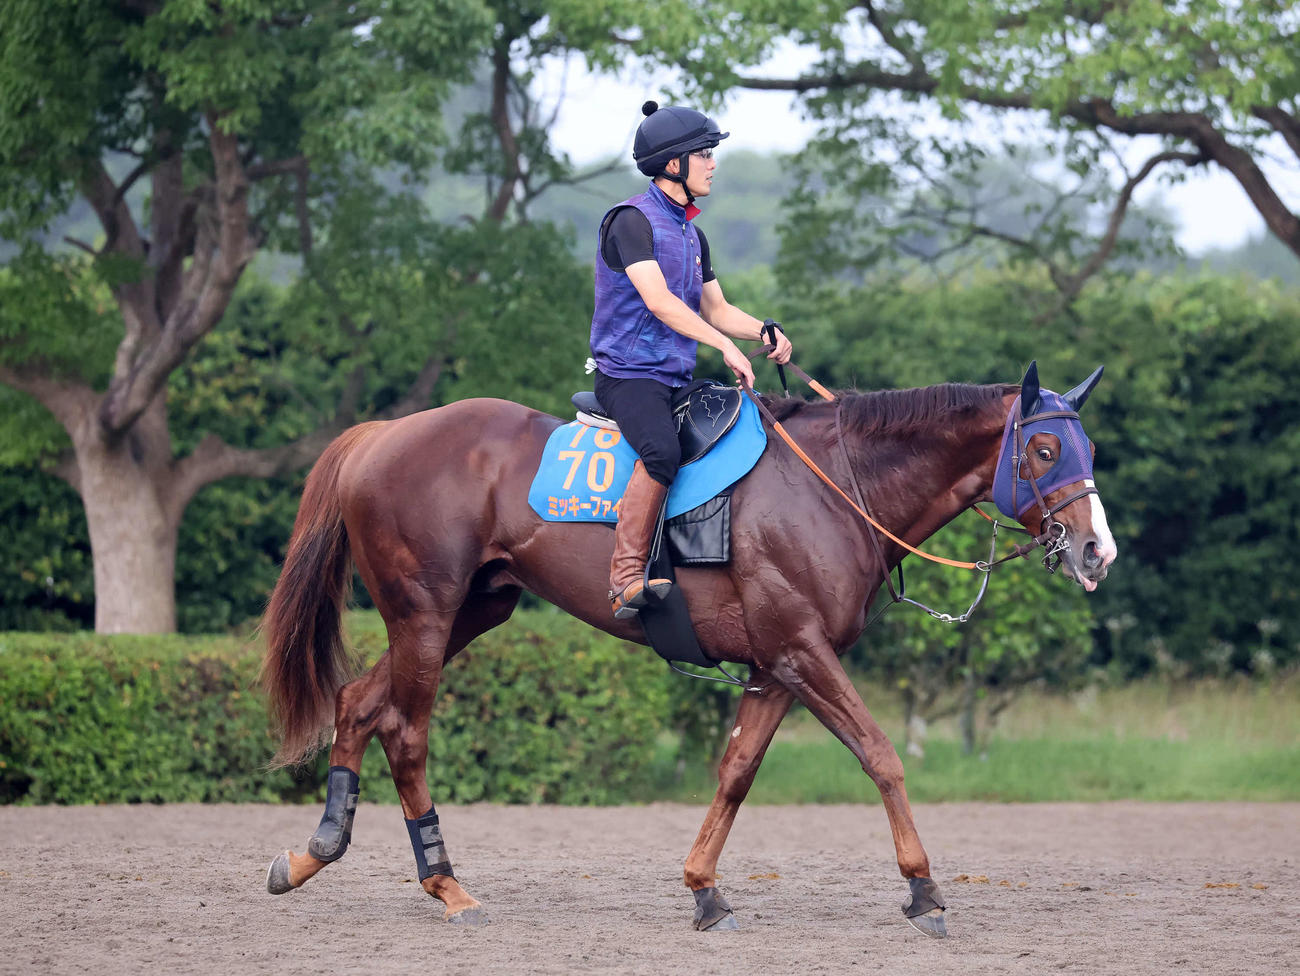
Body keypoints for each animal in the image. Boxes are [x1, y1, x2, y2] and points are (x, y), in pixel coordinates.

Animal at [260, 361, 1117, 937]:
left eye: (1088, 453)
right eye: (1044, 452)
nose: (1096, 551)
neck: (836, 487)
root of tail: (384, 434)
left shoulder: (776, 667)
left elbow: (736, 772)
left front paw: (705, 888)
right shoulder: (803, 653)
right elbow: (881, 754)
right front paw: (923, 889)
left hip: (472, 610)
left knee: (357, 704)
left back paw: (315, 852)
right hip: (427, 616)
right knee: (405, 731)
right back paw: (444, 884)